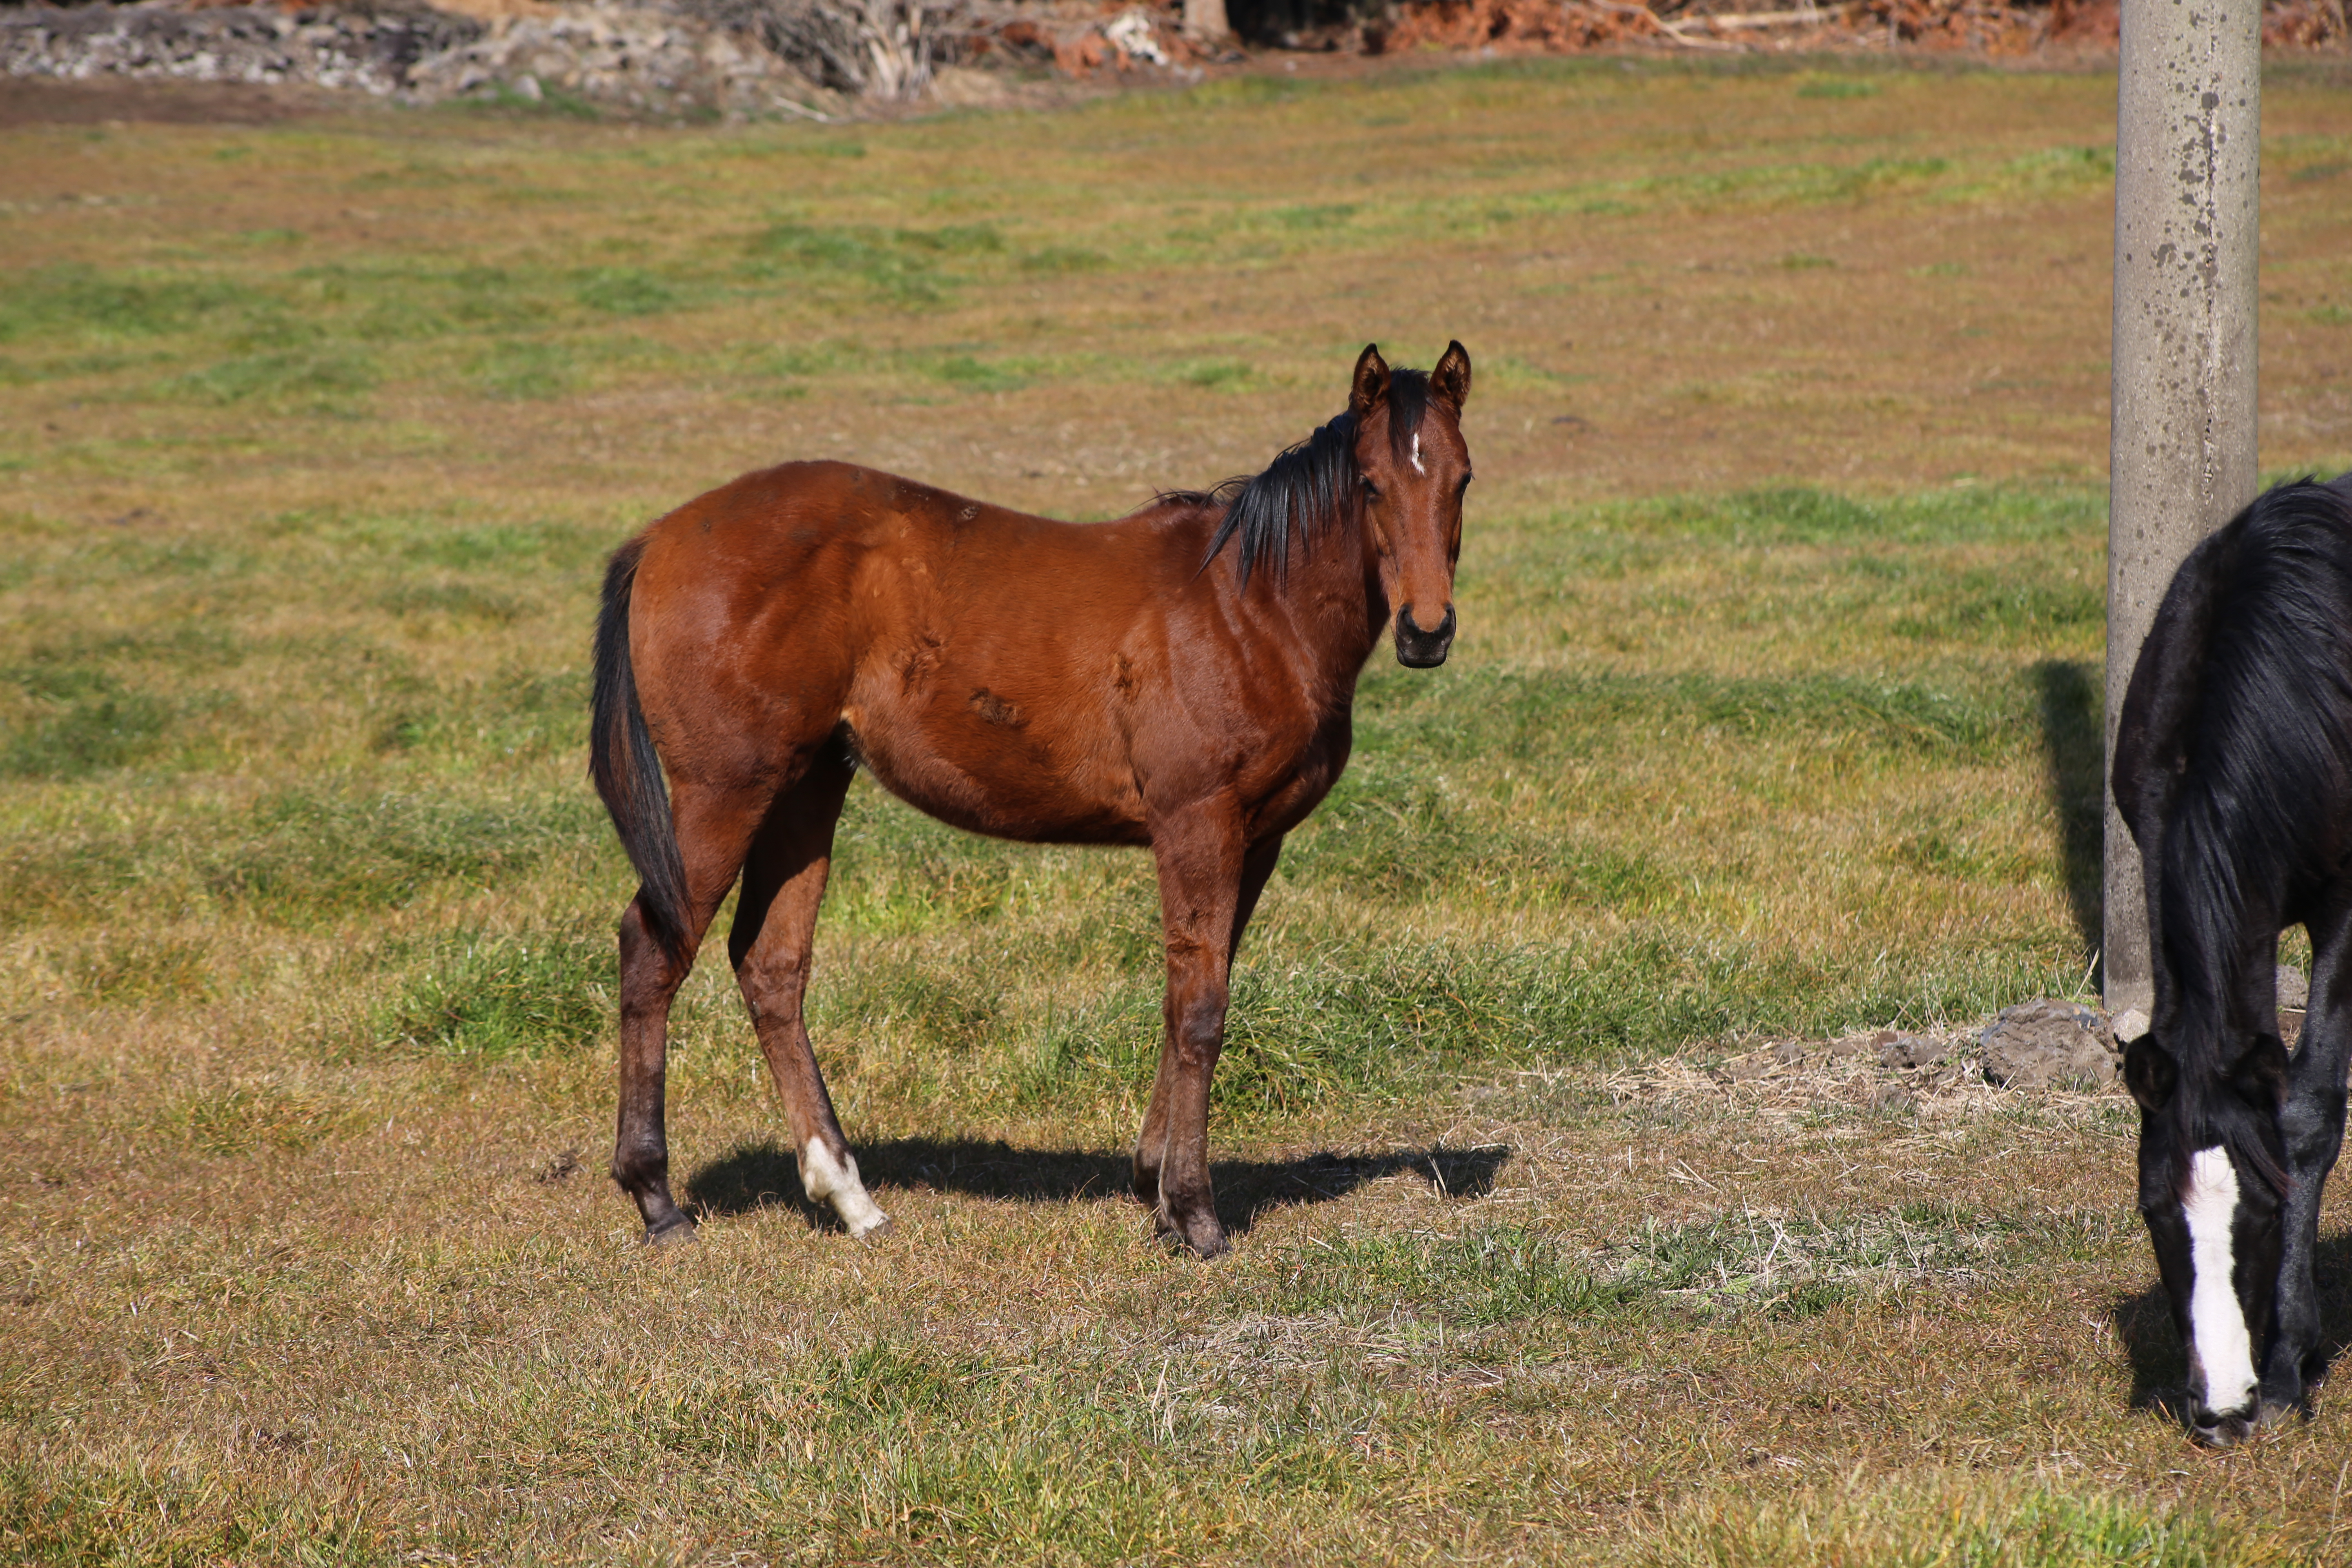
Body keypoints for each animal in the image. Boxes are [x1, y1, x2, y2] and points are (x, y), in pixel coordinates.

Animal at [592, 339, 1468, 1260]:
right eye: (1369, 482)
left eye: (1462, 479)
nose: (1427, 631)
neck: (1250, 607)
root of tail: (659, 537)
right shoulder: (1197, 824)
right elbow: (1199, 1010)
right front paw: (1193, 1212)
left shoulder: (1255, 841)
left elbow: (1191, 992)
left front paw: (1153, 1186)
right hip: (724, 794)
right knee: (654, 950)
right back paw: (657, 1199)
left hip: (806, 786)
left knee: (772, 966)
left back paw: (848, 1196)